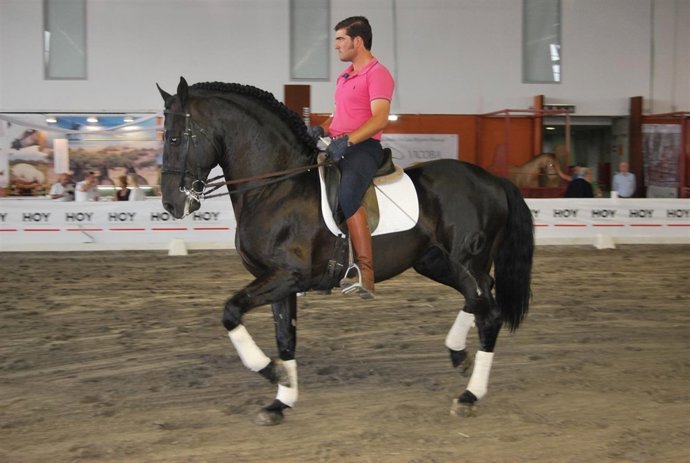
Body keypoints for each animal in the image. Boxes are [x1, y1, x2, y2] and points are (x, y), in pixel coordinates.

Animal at [157, 77, 534, 426]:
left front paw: (272, 372)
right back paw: (458, 356)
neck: (276, 187)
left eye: (174, 138)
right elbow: (285, 337)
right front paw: (281, 401)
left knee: (490, 314)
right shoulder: (279, 282)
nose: (171, 204)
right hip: (438, 262)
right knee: (479, 298)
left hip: (465, 261)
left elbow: (231, 311)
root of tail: (493, 180)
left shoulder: (286, 276)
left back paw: (469, 395)